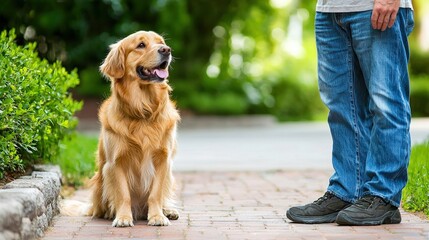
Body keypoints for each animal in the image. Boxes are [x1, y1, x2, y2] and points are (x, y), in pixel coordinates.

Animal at [88, 31, 180, 228]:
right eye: (141, 45)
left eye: (161, 42)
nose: (166, 50)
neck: (143, 111)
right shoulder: (116, 162)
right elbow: (123, 194)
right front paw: (123, 217)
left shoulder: (163, 159)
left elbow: (156, 194)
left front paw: (157, 216)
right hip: (100, 180)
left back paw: (168, 211)